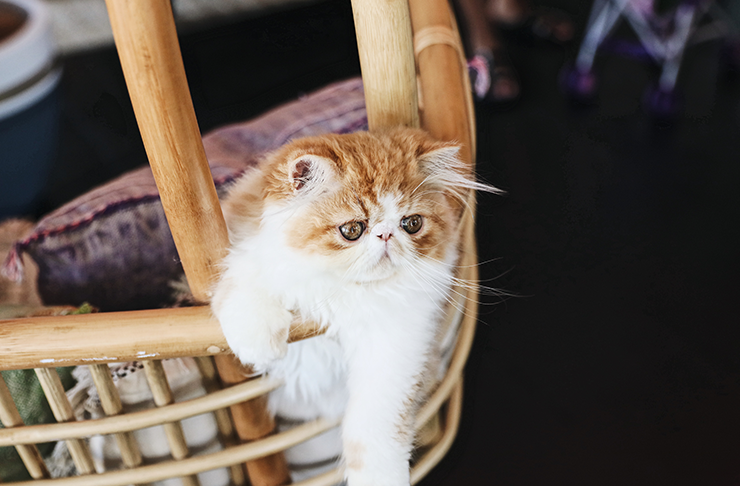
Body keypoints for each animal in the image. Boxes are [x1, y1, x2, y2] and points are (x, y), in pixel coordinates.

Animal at [210, 128, 498, 486]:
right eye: (352, 230)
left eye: (412, 224)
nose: (386, 235)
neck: (347, 293)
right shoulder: (246, 248)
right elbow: (248, 279)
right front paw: (259, 347)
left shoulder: (394, 348)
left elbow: (373, 430)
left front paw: (382, 478)